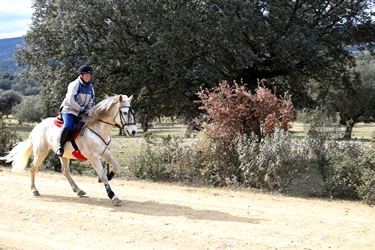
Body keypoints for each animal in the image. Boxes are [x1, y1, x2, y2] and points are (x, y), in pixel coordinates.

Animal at [0, 94, 138, 205]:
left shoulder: (105, 153)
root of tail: (37, 126)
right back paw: (34, 190)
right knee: (33, 167)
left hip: (64, 155)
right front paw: (113, 196)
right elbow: (104, 176)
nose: (133, 131)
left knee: (65, 171)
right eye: (125, 113)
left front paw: (105, 178)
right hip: (41, 152)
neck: (97, 129)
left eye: (133, 112)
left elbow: (116, 167)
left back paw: (78, 190)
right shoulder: (94, 157)